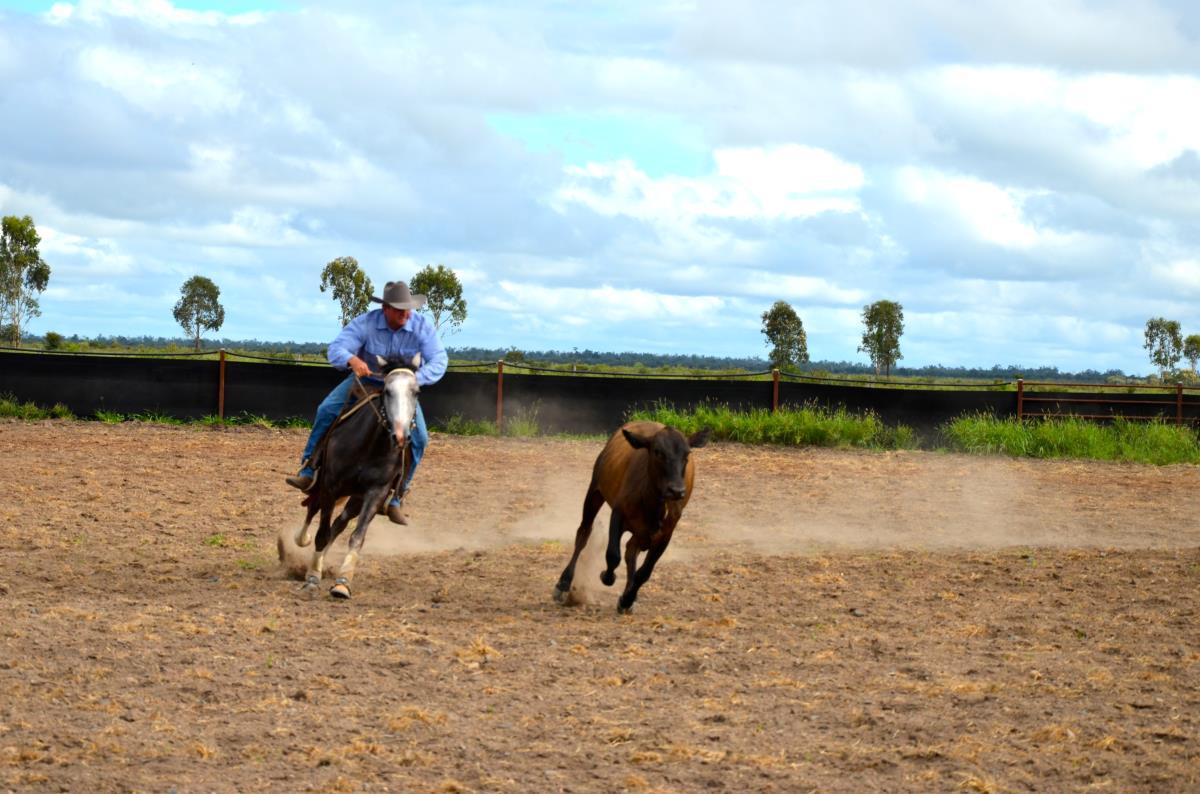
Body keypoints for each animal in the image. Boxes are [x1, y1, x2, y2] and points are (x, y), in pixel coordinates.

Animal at [290, 353, 421, 599]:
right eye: (387, 390)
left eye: (416, 391)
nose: (400, 436)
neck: (369, 445)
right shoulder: (330, 487)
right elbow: (321, 533)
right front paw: (312, 578)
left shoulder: (375, 493)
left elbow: (357, 537)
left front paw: (342, 582)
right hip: (322, 485)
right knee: (313, 509)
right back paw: (302, 541)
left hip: (356, 498)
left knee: (339, 523)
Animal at [553, 420, 710, 613]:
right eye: (658, 452)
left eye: (687, 454)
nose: (676, 490)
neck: (652, 503)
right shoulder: (618, 514)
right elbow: (613, 555)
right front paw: (607, 576)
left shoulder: (665, 533)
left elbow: (644, 571)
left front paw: (627, 599)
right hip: (595, 491)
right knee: (583, 534)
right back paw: (563, 584)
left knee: (630, 551)